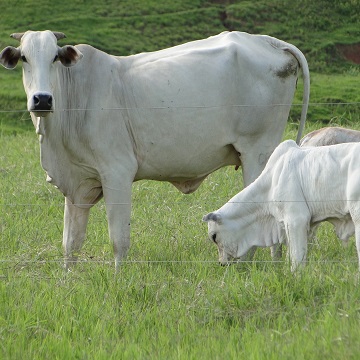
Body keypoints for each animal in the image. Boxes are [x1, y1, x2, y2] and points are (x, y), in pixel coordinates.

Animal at [0, 29, 310, 268]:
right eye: (24, 57)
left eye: (54, 57)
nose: (42, 99)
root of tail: (270, 41)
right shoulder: (77, 185)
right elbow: (70, 242)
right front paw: (68, 279)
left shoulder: (117, 172)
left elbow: (119, 239)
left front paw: (118, 279)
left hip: (258, 153)